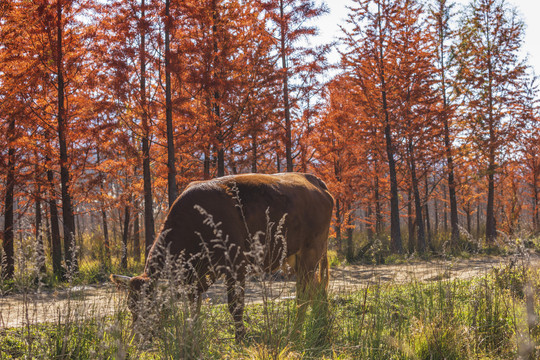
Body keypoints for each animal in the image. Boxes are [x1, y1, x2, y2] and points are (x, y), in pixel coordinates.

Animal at [112, 172, 334, 340]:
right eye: (130, 306)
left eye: (151, 306)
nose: (137, 339)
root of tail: (313, 179)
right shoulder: (196, 278)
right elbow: (194, 308)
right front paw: (194, 334)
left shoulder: (236, 266)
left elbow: (235, 306)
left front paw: (240, 338)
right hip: (297, 258)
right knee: (317, 292)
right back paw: (321, 328)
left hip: (311, 252)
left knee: (304, 296)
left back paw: (295, 333)